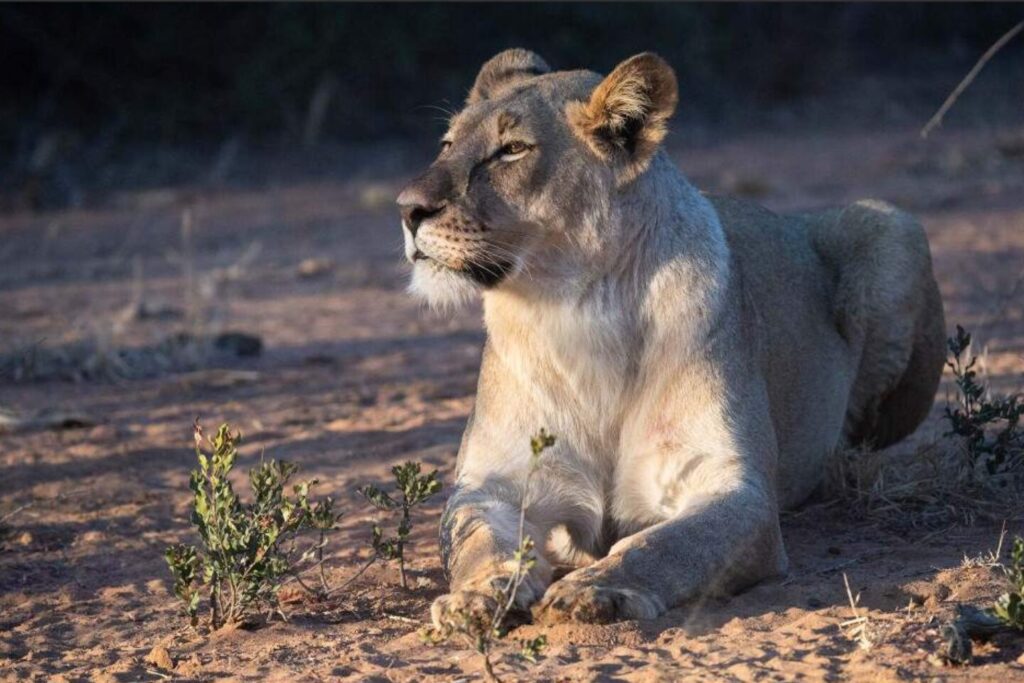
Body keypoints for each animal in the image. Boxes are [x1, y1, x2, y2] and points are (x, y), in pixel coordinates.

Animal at [396, 49, 946, 626]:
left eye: (512, 150)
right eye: (447, 144)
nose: (407, 208)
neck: (576, 309)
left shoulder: (734, 487)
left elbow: (663, 545)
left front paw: (592, 589)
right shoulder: (489, 485)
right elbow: (476, 540)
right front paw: (474, 598)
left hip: (890, 222)